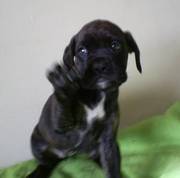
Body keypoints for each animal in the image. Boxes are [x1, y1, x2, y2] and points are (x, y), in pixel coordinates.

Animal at [27, 19, 142, 178]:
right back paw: (38, 172)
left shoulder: (108, 140)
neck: (98, 93)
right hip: (36, 141)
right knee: (47, 163)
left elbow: (112, 165)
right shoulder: (61, 126)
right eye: (82, 51)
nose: (100, 66)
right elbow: (63, 103)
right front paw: (64, 84)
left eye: (115, 45)